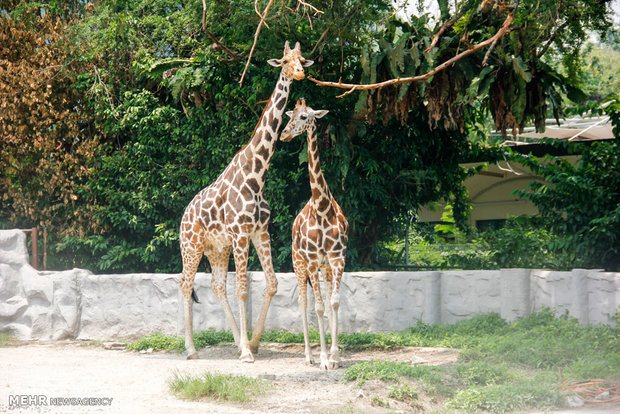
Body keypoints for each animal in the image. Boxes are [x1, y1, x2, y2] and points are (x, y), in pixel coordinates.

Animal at [180, 40, 314, 360]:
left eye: (302, 59)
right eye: (285, 61)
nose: (300, 73)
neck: (257, 173)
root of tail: (183, 217)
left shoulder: (259, 232)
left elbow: (272, 283)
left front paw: (251, 343)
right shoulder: (241, 233)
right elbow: (242, 288)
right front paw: (246, 352)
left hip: (216, 249)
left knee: (216, 285)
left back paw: (234, 339)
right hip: (191, 247)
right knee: (185, 284)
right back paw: (191, 349)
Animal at [280, 98, 348, 370]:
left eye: (304, 117)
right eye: (290, 115)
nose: (284, 134)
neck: (321, 207)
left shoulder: (337, 258)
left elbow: (334, 303)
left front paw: (335, 356)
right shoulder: (310, 262)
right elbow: (317, 307)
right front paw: (322, 359)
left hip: (324, 268)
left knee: (327, 300)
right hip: (299, 264)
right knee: (303, 301)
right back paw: (309, 355)